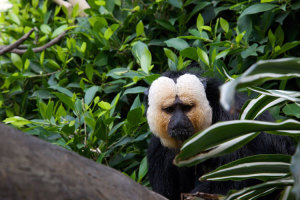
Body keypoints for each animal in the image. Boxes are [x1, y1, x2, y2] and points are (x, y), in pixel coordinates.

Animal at [145, 68, 296, 199]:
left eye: (186, 108)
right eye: (169, 109)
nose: (178, 122)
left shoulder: (232, 122)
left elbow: (230, 181)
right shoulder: (159, 147)